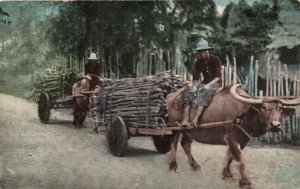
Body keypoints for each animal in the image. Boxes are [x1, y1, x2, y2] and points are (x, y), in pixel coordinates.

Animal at [165, 84, 298, 189]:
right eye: (264, 107)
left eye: (280, 108)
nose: (275, 125)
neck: (243, 115)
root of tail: (171, 96)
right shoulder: (232, 139)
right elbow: (241, 161)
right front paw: (245, 182)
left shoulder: (240, 141)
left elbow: (229, 157)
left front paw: (227, 174)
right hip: (175, 127)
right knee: (174, 144)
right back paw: (173, 166)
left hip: (189, 131)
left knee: (186, 144)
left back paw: (195, 166)